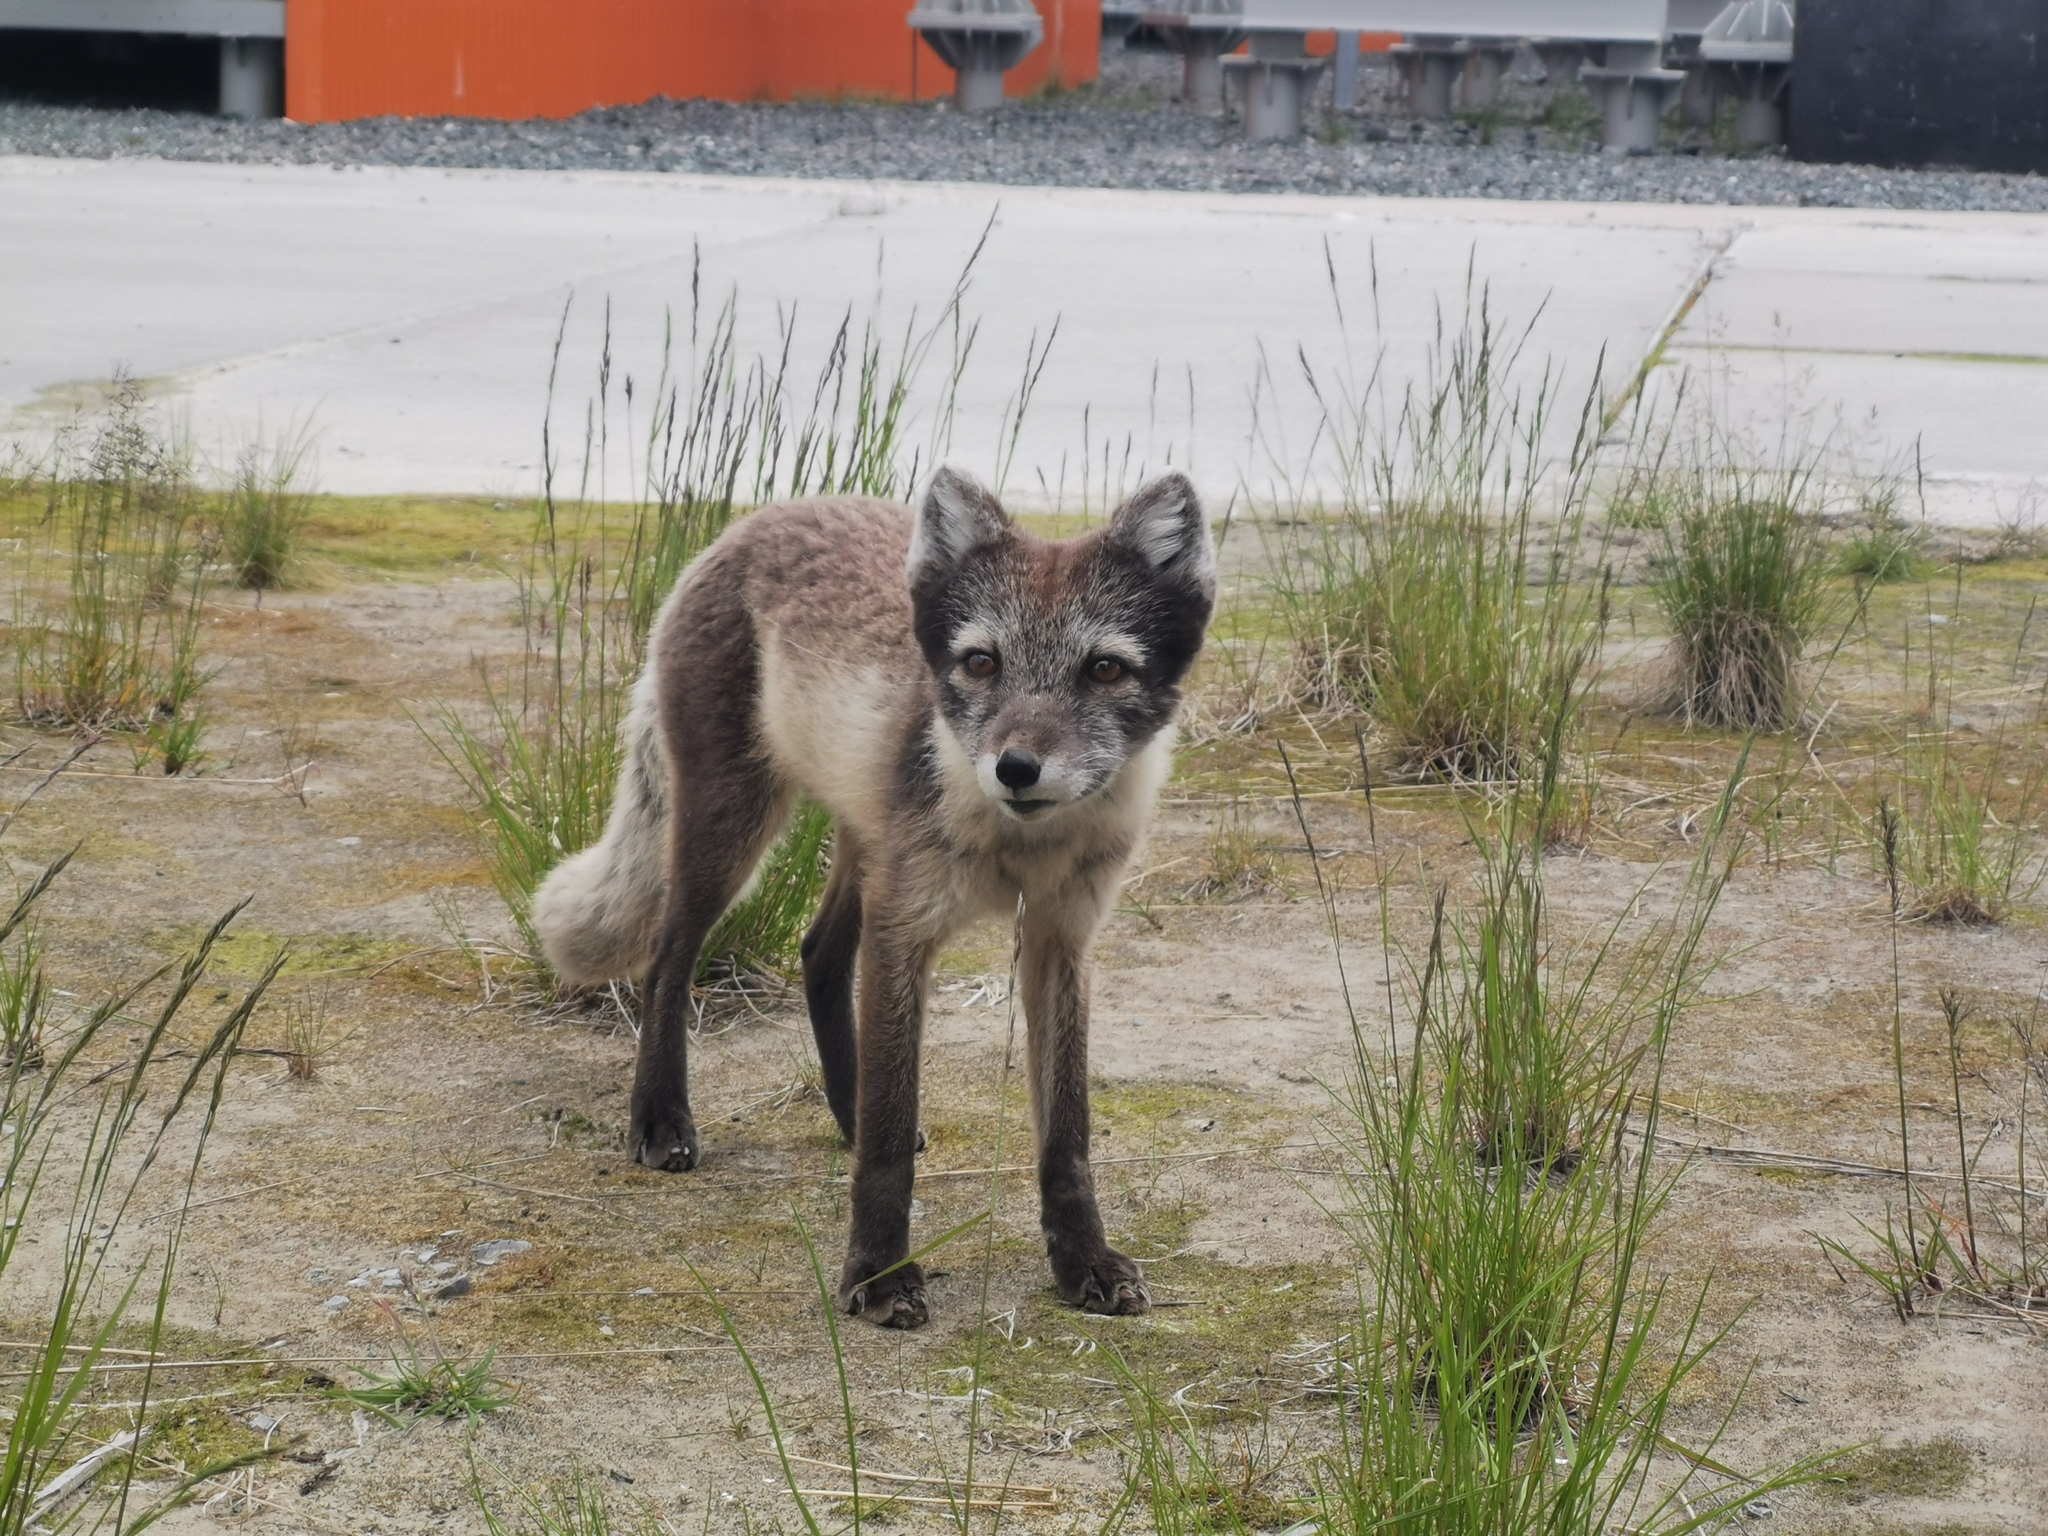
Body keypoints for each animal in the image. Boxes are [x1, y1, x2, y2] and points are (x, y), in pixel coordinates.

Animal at [536, 462, 1220, 1327]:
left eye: (1104, 669)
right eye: (981, 662)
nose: (1016, 768)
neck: (1018, 851)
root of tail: (757, 521)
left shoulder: (1061, 942)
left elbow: (1067, 1135)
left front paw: (1083, 1262)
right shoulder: (906, 931)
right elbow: (892, 1138)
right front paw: (880, 1272)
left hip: (861, 847)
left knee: (818, 952)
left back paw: (842, 1111)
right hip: (734, 830)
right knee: (666, 957)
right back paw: (661, 1118)